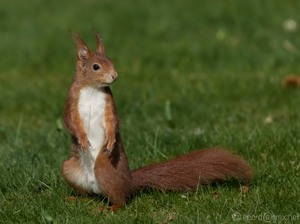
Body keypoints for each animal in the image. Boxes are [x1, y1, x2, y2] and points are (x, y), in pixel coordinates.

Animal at [62, 32, 253, 212]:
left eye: (111, 61)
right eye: (96, 66)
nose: (114, 76)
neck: (92, 89)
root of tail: (129, 182)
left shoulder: (109, 103)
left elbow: (112, 122)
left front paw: (110, 139)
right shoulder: (71, 100)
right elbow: (70, 121)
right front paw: (82, 139)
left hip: (105, 167)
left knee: (120, 200)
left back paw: (110, 207)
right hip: (68, 168)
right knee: (90, 194)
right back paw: (76, 199)